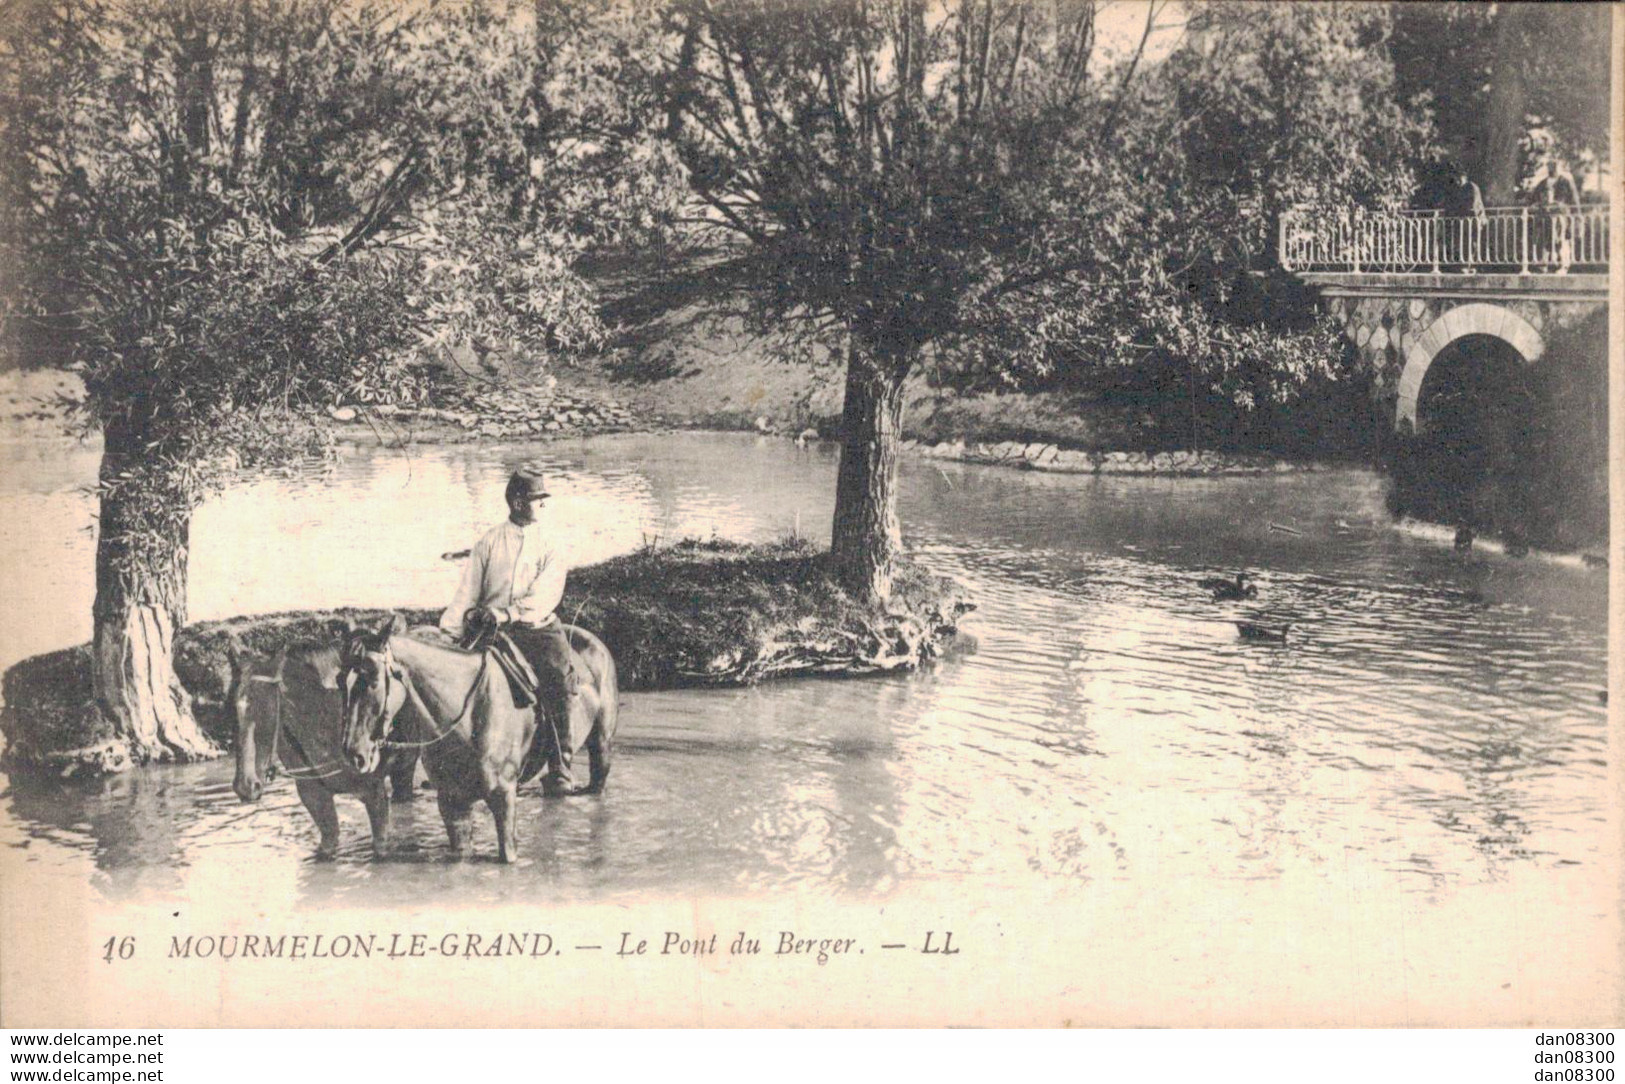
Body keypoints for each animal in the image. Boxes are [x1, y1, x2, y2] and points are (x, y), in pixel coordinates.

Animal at [339, 617, 617, 864]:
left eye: (373, 680)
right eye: (341, 681)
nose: (354, 754)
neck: (468, 715)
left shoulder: (504, 796)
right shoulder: (452, 803)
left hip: (601, 745)